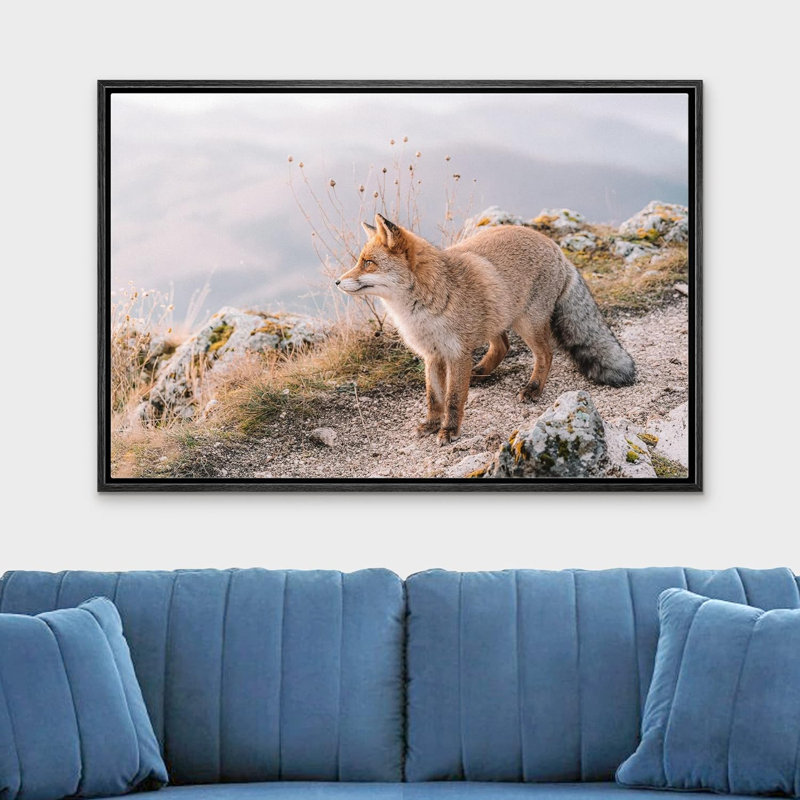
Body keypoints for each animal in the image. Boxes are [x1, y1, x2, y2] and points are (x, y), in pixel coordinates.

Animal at [336, 214, 635, 445]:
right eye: (360, 261)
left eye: (368, 263)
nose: (336, 282)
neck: (422, 310)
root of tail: (556, 247)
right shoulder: (433, 355)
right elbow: (434, 398)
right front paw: (431, 424)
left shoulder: (456, 354)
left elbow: (453, 398)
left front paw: (449, 431)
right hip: (498, 316)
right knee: (503, 345)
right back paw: (481, 372)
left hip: (526, 323)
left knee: (546, 355)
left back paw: (533, 388)